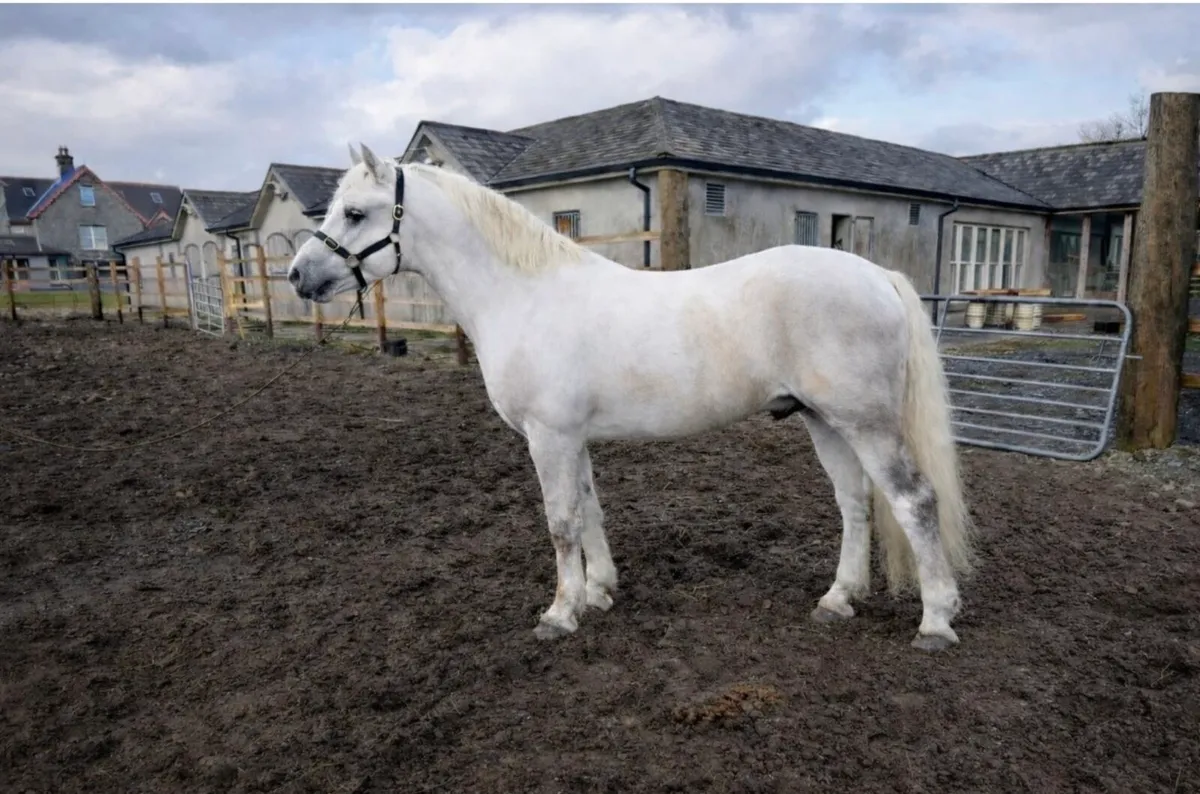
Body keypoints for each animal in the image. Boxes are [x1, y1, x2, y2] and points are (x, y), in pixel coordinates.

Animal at [286, 143, 975, 653]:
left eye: (355, 213)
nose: (297, 276)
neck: (523, 294)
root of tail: (876, 275)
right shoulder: (573, 438)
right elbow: (590, 511)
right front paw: (599, 592)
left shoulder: (549, 437)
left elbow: (561, 522)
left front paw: (560, 613)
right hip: (825, 421)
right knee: (855, 504)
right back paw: (838, 600)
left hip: (867, 424)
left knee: (913, 501)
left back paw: (936, 621)